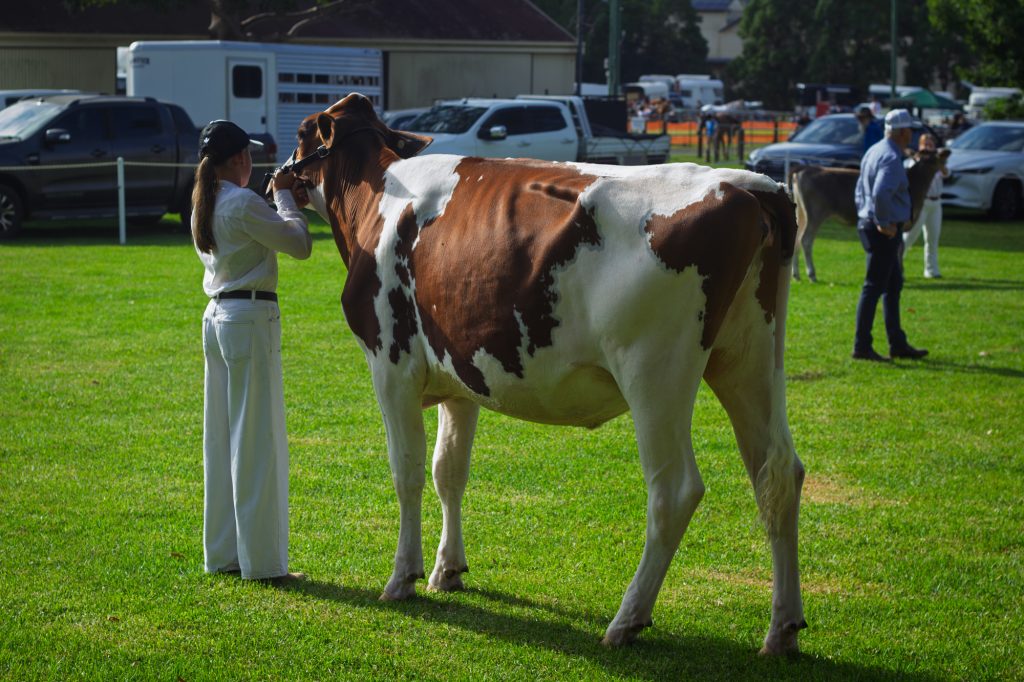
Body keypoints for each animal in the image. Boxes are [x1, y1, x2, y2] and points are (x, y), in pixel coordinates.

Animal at [286, 93, 805, 655]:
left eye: (300, 134)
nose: (273, 177)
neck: (378, 196)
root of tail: (745, 185)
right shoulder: (459, 376)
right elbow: (449, 470)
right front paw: (448, 570)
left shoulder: (391, 363)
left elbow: (407, 471)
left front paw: (403, 576)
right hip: (749, 358)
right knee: (777, 473)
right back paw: (782, 628)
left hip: (655, 372)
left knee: (675, 490)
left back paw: (627, 619)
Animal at [790, 148, 950, 281]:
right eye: (934, 155)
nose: (946, 151)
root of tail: (805, 169)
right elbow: (900, 247)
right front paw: (901, 273)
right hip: (816, 213)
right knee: (806, 240)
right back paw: (812, 274)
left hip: (802, 213)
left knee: (797, 238)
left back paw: (796, 275)